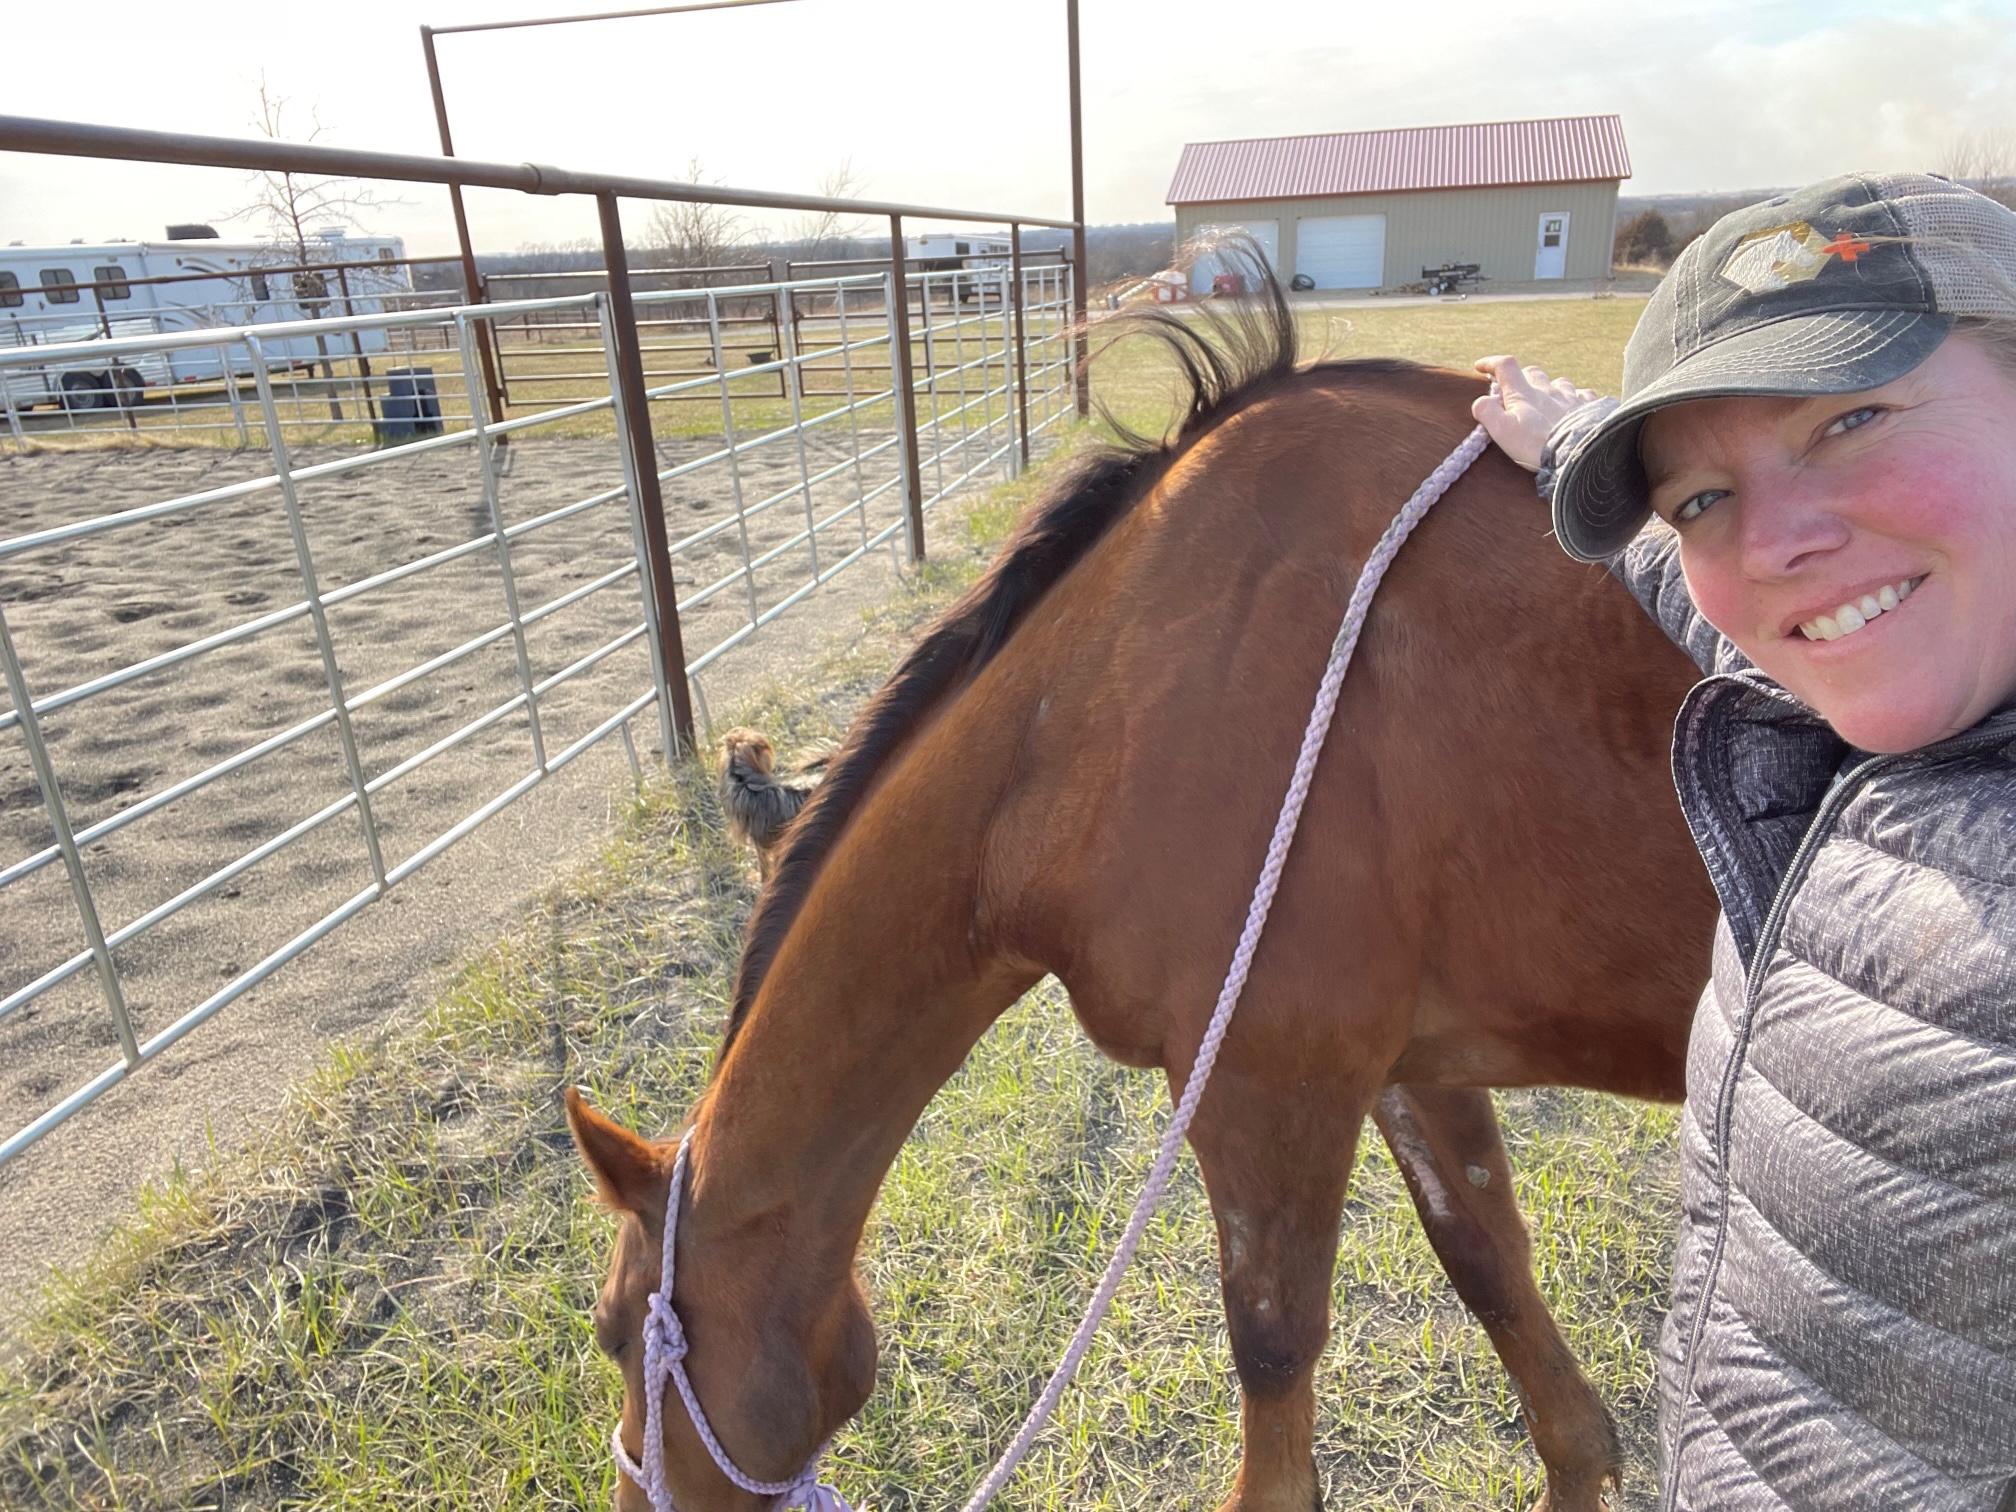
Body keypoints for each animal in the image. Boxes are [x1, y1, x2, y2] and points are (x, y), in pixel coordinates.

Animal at [566, 273, 1717, 1511]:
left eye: (613, 1331)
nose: (629, 1500)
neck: (1099, 712)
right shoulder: (1407, 1066)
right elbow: (1488, 1262)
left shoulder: (1265, 1090)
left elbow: (1273, 1357)